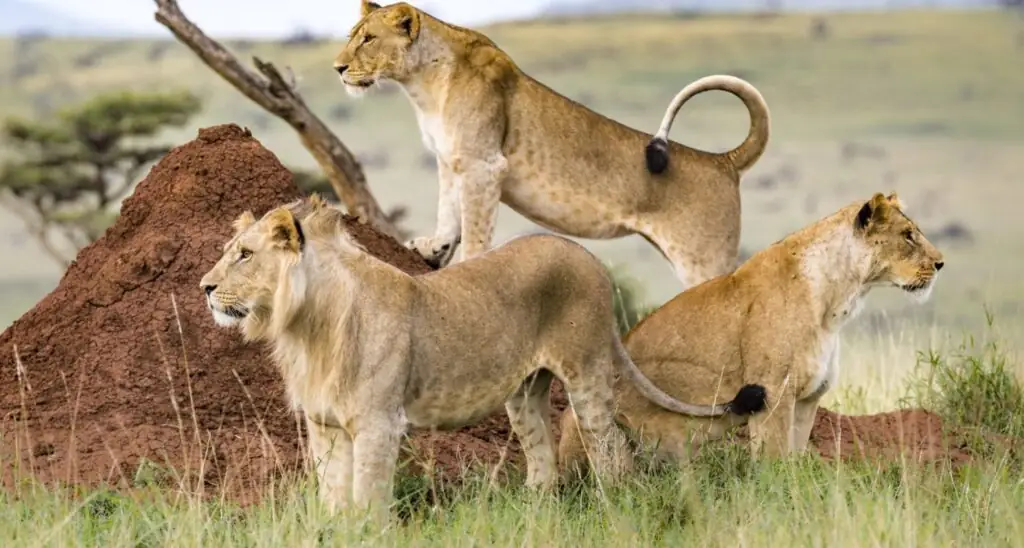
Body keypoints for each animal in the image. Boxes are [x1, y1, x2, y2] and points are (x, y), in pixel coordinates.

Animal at [198, 194, 763, 522]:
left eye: (244, 255)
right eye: (228, 250)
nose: (203, 287)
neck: (306, 326)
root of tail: (585, 253)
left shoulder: (379, 422)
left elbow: (367, 496)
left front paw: (366, 532)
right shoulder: (325, 426)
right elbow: (333, 495)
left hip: (586, 374)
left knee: (611, 451)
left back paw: (616, 509)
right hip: (524, 393)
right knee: (543, 462)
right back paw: (533, 515)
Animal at [333, 1, 771, 289]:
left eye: (368, 39)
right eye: (353, 37)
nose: (338, 68)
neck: (421, 82)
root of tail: (724, 162)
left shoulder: (483, 163)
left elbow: (474, 228)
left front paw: (467, 266)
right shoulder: (451, 159)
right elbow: (448, 211)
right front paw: (431, 249)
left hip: (703, 260)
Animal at [558, 192, 945, 476]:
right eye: (908, 236)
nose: (941, 263)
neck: (840, 296)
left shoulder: (807, 399)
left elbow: (793, 460)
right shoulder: (773, 394)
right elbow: (773, 464)